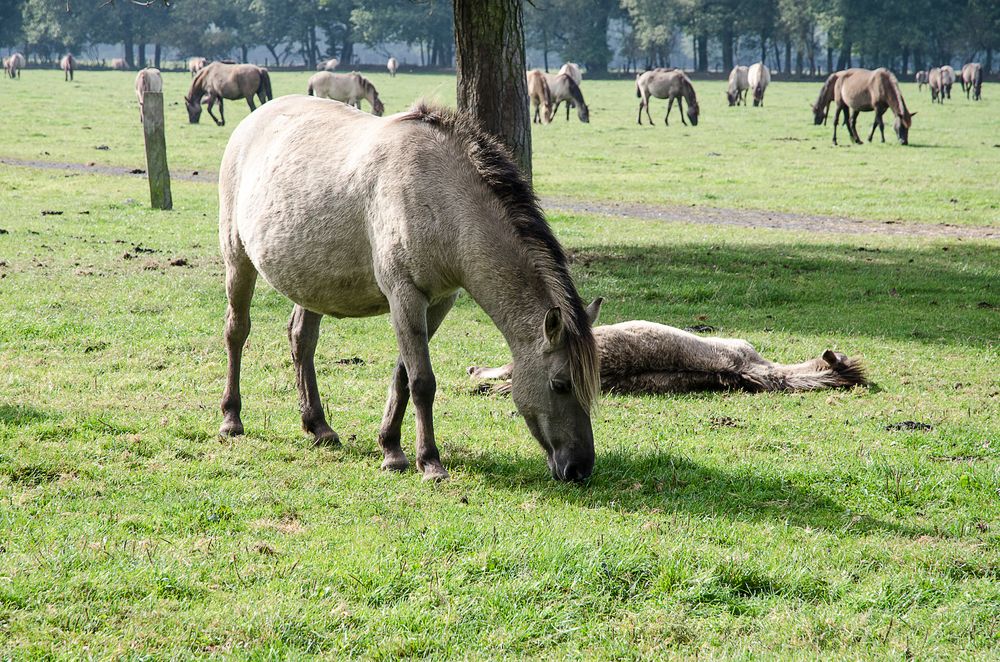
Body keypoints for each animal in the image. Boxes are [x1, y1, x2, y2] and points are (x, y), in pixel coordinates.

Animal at [219, 97, 600, 482]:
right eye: (560, 384)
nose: (580, 467)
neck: (440, 197)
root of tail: (254, 119)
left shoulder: (439, 302)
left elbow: (402, 377)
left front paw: (391, 448)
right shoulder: (405, 296)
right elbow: (422, 382)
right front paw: (429, 462)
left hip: (310, 283)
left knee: (301, 340)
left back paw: (319, 427)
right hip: (237, 259)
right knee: (237, 332)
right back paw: (231, 419)